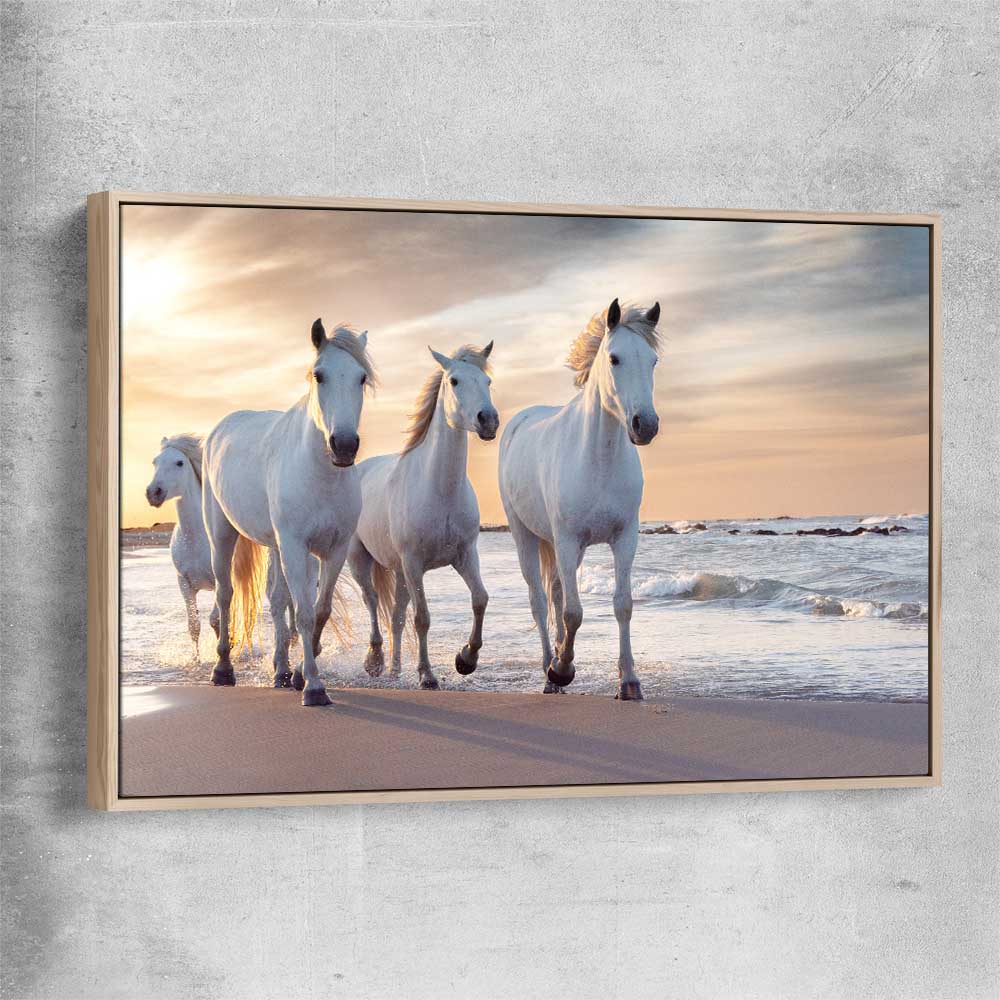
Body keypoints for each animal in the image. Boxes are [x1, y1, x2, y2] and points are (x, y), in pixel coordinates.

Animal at [144, 434, 219, 657]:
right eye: (155, 462)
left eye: (180, 463)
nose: (153, 493)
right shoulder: (184, 583)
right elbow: (194, 626)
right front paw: (195, 660)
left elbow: (217, 621)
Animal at [202, 319, 375, 706]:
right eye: (319, 375)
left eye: (361, 378)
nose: (344, 445)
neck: (320, 475)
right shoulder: (295, 547)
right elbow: (306, 614)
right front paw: (313, 687)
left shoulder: (333, 550)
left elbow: (318, 610)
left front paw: (298, 674)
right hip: (222, 535)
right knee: (225, 594)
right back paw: (223, 669)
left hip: (276, 546)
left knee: (279, 601)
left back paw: (281, 671)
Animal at [347, 342, 499, 690]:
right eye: (454, 381)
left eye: (487, 381)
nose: (488, 420)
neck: (439, 489)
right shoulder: (415, 562)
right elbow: (423, 618)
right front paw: (427, 675)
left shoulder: (465, 556)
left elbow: (480, 599)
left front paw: (466, 659)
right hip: (361, 560)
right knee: (372, 601)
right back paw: (375, 662)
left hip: (400, 572)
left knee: (396, 616)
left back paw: (394, 669)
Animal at [498, 298, 661, 700]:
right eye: (615, 358)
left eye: (653, 360)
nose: (645, 425)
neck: (598, 459)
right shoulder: (568, 540)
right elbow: (573, 612)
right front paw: (561, 669)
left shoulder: (624, 539)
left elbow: (622, 605)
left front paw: (629, 681)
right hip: (526, 535)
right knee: (540, 601)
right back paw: (549, 669)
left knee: (556, 592)